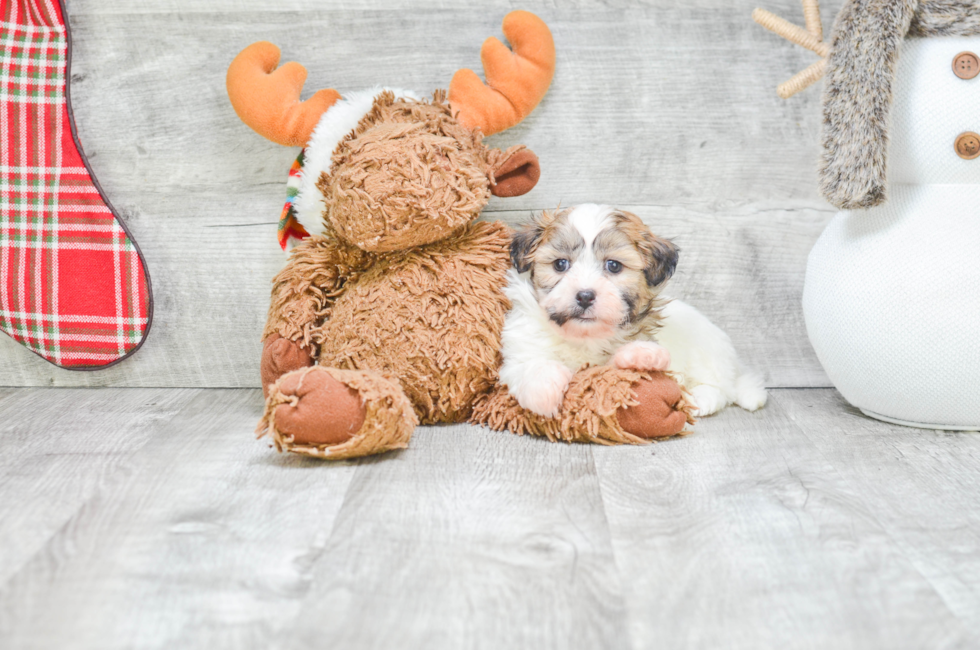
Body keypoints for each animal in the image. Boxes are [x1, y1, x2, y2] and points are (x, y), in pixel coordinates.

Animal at [502, 202, 768, 418]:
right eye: (560, 264)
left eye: (613, 265)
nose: (585, 296)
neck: (585, 336)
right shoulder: (520, 347)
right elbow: (532, 363)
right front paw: (544, 394)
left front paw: (642, 356)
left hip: (707, 355)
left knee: (722, 389)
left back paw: (701, 400)